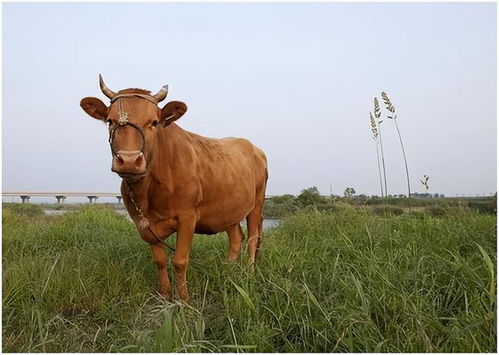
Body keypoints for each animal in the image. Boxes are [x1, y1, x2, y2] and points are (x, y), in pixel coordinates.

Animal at [81, 76, 270, 302]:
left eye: (154, 122)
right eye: (110, 121)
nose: (129, 161)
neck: (148, 192)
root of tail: (253, 147)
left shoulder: (187, 216)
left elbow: (180, 260)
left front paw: (183, 299)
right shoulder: (144, 223)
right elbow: (160, 260)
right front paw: (164, 294)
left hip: (257, 203)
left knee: (252, 239)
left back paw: (248, 274)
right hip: (229, 209)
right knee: (235, 238)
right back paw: (229, 272)